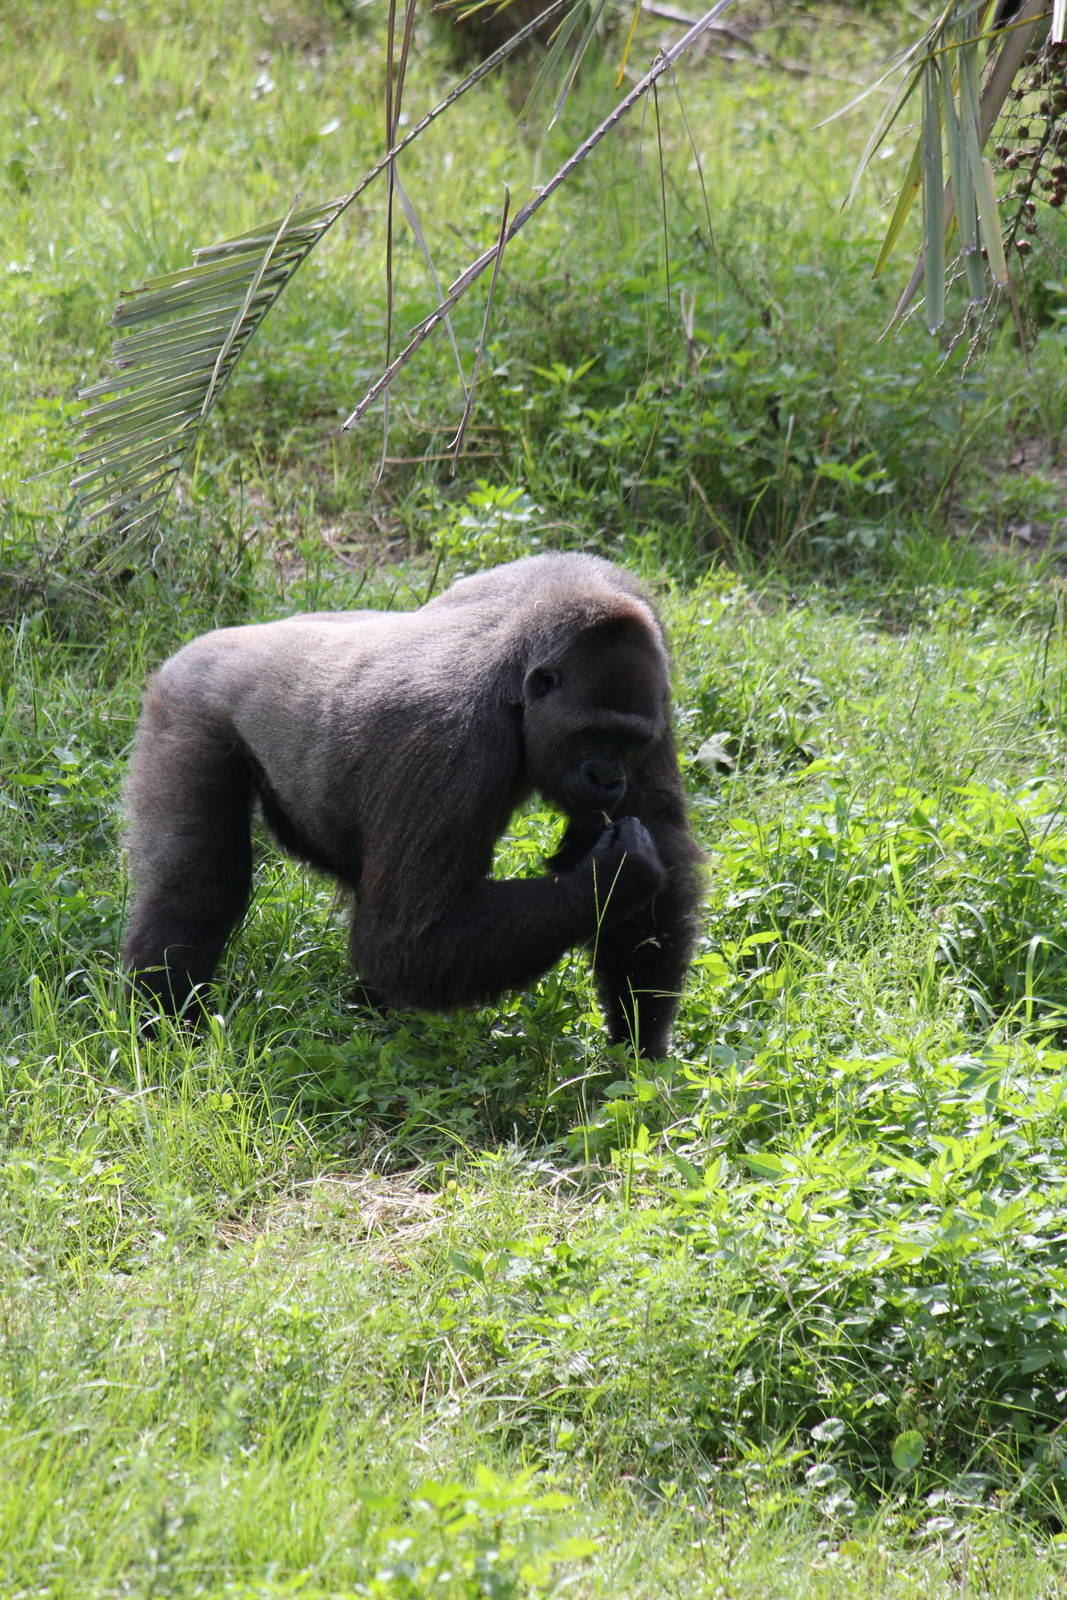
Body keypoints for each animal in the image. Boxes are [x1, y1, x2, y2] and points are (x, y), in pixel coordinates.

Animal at [121, 552, 704, 1057]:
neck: (517, 685)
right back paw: (163, 1027)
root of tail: (206, 642)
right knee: (198, 890)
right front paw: (612, 877)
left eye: (630, 742)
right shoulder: (448, 742)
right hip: (186, 706)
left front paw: (639, 1044)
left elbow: (662, 861)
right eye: (592, 735)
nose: (607, 778)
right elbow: (406, 944)